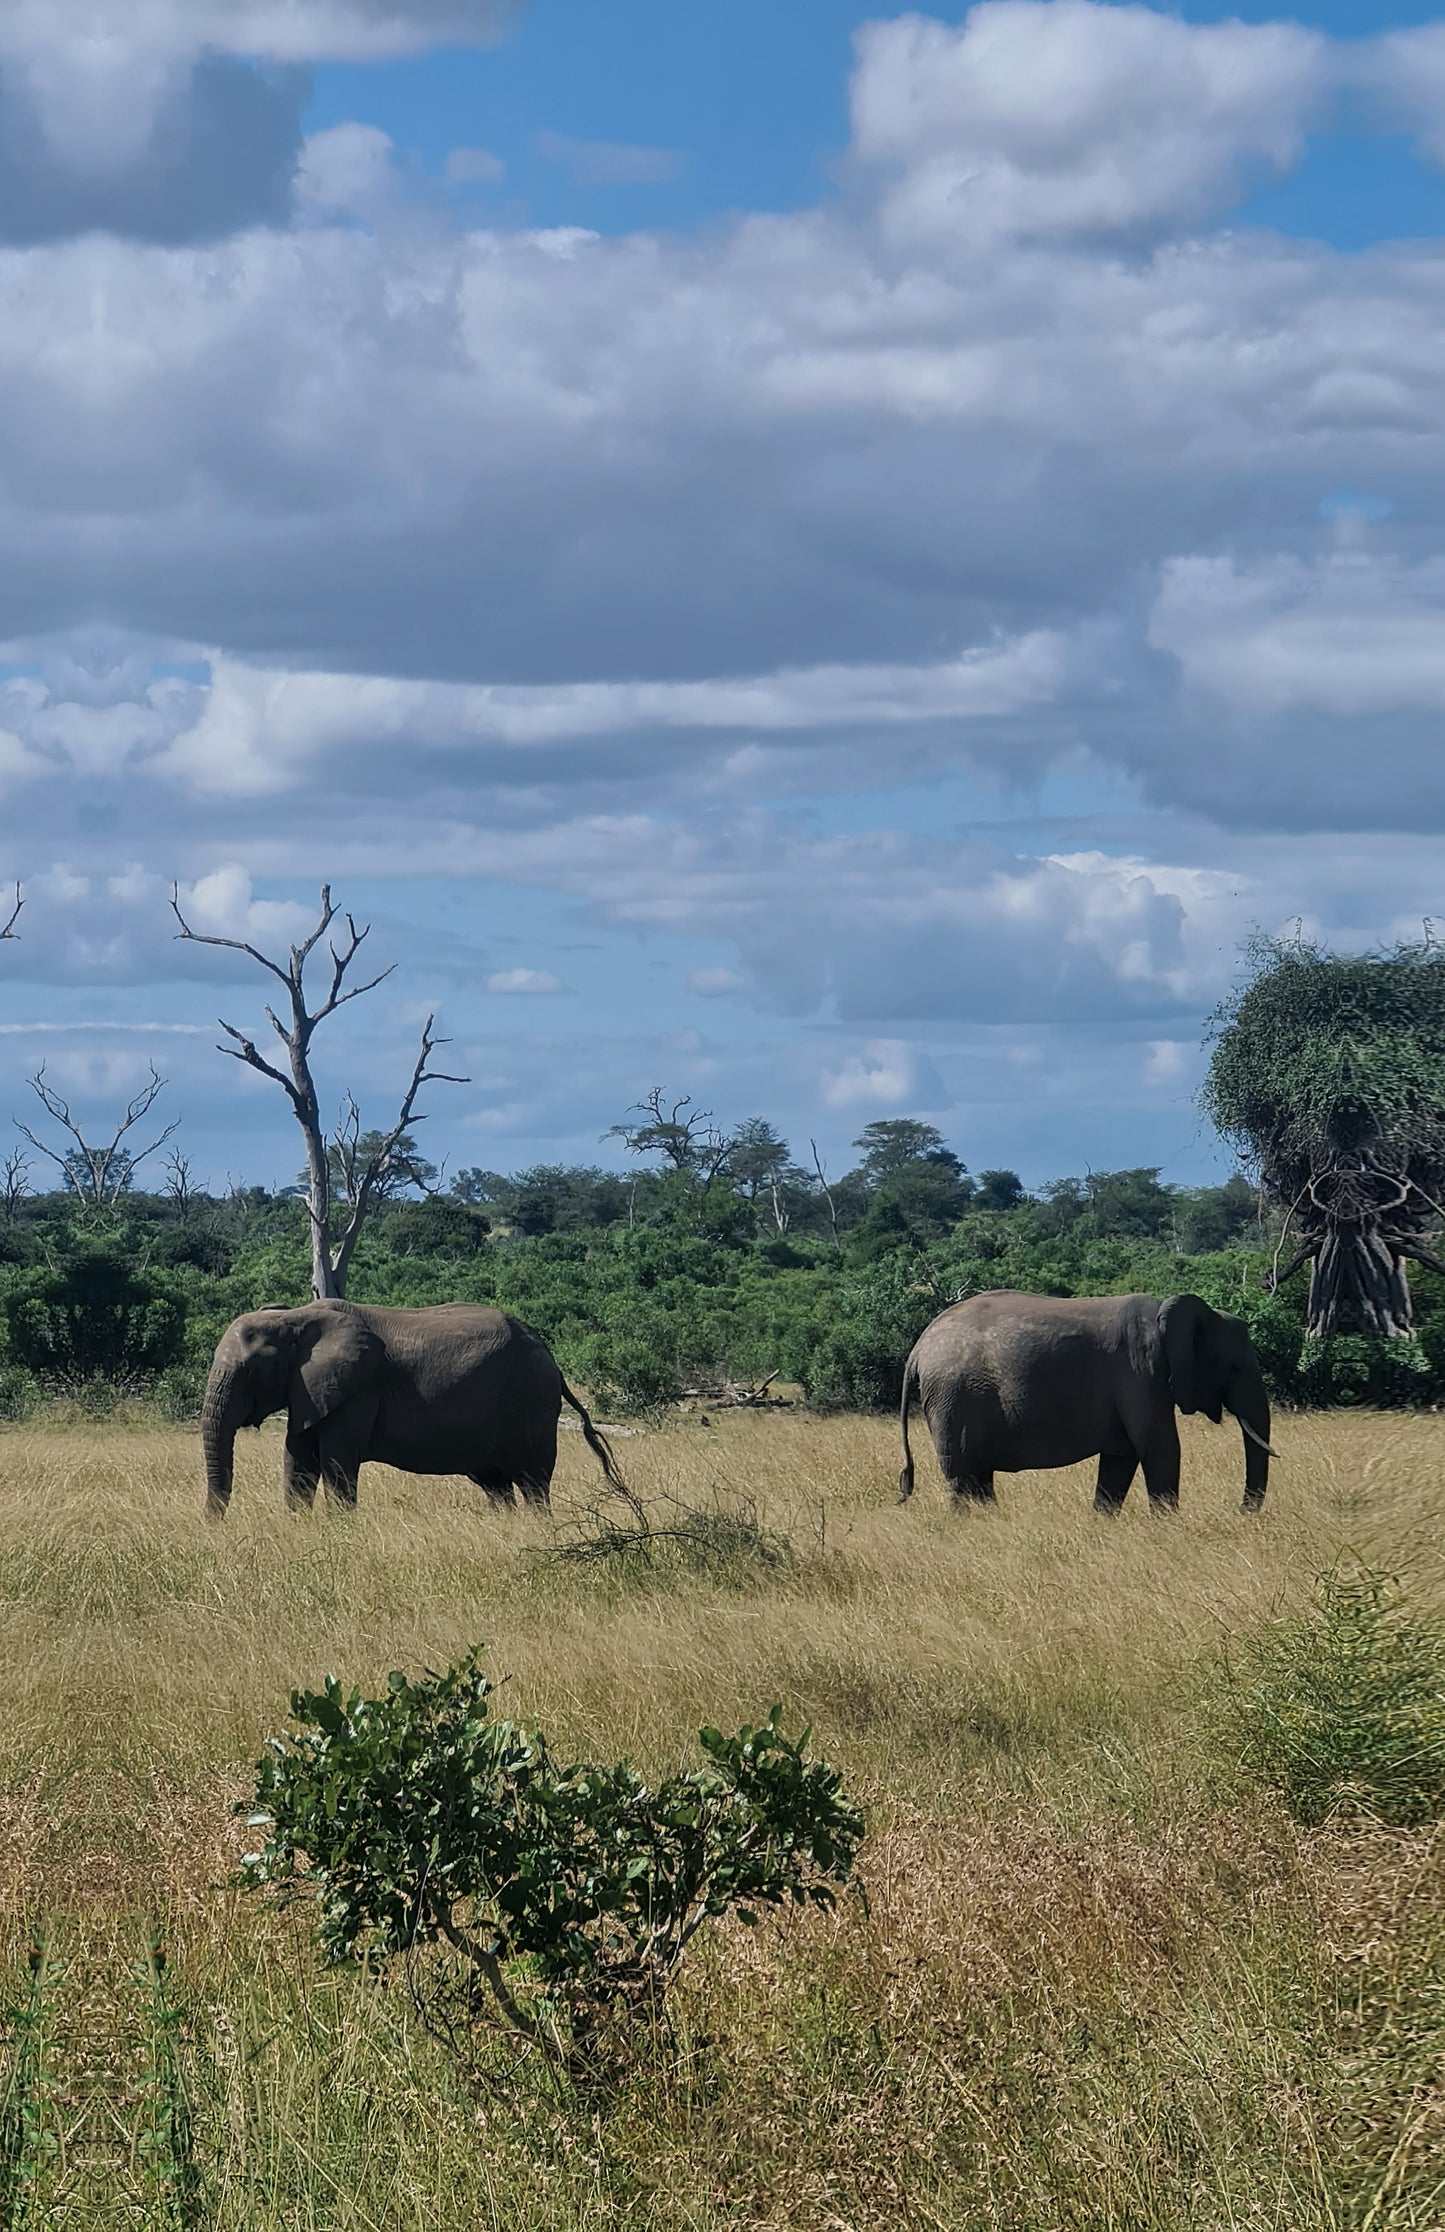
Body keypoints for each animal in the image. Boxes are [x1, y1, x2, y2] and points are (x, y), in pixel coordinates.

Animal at [198, 1303, 625, 1526]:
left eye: (252, 1371)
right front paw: (297, 1527)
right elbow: (298, 1461)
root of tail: (554, 1361)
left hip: (531, 1403)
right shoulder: (309, 1389)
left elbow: (337, 1462)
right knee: (497, 1484)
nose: (213, 1526)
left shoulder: (356, 1390)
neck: (294, 1319)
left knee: (533, 1481)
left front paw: (339, 1530)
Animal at [897, 1294, 1286, 1517]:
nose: (1240, 1514)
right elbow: (1158, 1446)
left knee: (979, 1477)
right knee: (963, 1475)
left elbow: (1121, 1457)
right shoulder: (1139, 1371)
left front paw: (1102, 1522)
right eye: (1233, 1367)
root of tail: (917, 1349)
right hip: (954, 1397)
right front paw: (1168, 1525)